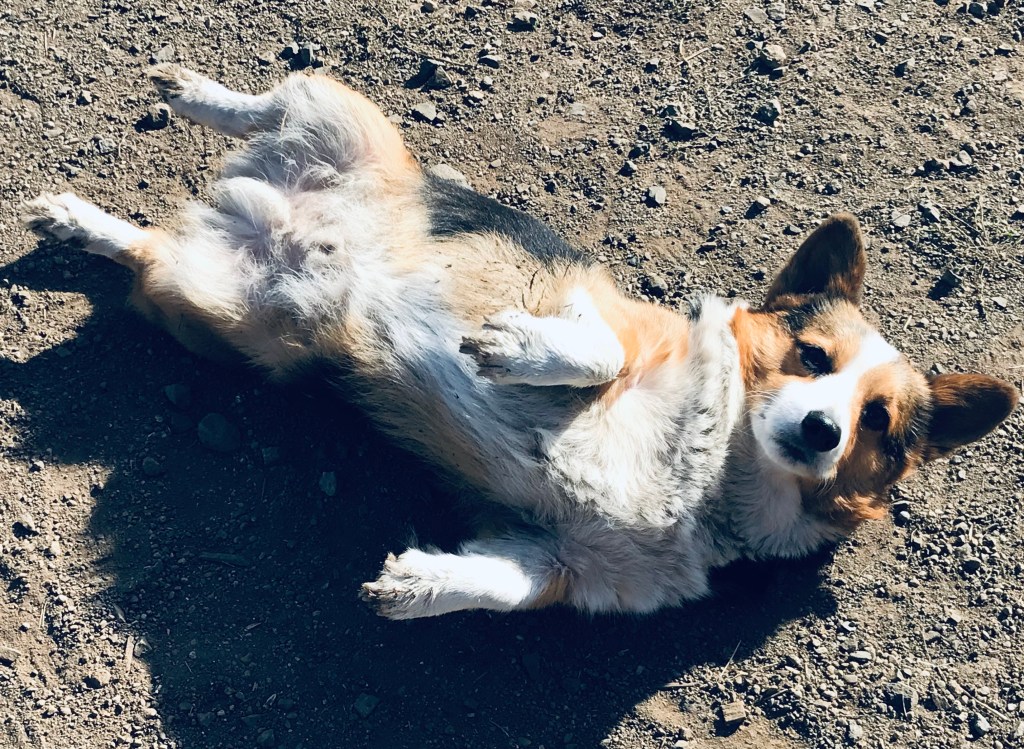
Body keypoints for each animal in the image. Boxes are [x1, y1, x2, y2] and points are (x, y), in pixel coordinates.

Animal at [23, 66, 1017, 620]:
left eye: (878, 425)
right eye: (813, 358)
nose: (821, 431)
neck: (716, 473)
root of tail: (265, 209)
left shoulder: (560, 559)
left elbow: (497, 584)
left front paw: (414, 587)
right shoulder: (603, 314)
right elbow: (592, 349)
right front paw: (512, 350)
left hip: (224, 313)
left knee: (140, 247)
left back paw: (78, 221)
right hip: (351, 123)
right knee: (274, 100)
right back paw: (191, 91)